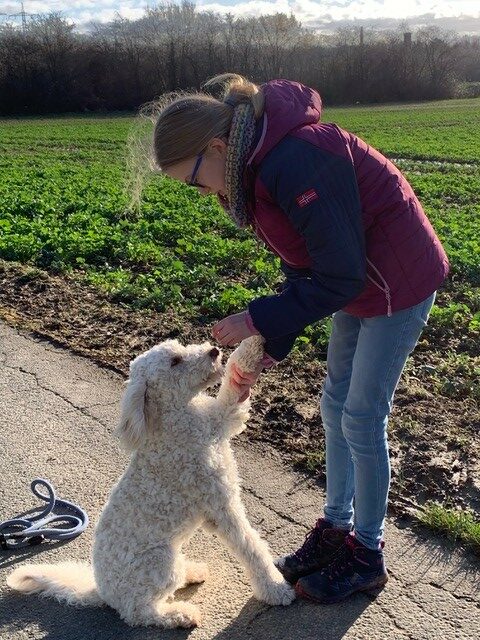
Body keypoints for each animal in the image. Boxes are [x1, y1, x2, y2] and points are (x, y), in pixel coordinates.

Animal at [7, 336, 295, 628]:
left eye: (181, 347)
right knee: (140, 612)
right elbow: (251, 547)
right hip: (159, 562)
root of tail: (102, 591)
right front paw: (275, 589)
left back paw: (193, 571)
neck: (176, 417)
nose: (213, 351)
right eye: (175, 361)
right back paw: (181, 614)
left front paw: (252, 341)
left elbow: (234, 385)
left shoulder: (221, 419)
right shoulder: (219, 504)